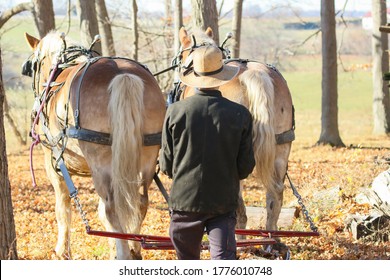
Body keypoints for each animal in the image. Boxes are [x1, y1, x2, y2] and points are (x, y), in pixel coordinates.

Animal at [22, 31, 166, 260]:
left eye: (33, 65)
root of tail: (122, 74)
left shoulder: (53, 163)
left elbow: (63, 208)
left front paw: (63, 250)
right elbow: (101, 212)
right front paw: (113, 247)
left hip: (101, 164)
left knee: (112, 208)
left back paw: (124, 253)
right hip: (147, 159)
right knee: (140, 202)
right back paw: (133, 248)